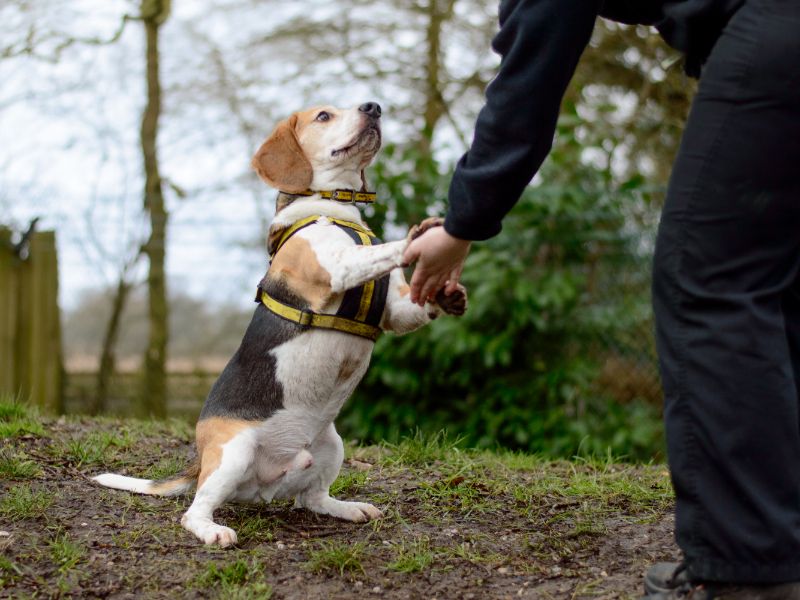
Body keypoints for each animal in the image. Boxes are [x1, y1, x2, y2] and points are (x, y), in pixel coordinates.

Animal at [92, 103, 468, 548]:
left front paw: (447, 295)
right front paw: (420, 236)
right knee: (194, 510)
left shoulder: (395, 311)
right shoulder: (336, 270)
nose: (373, 107)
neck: (332, 208)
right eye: (323, 115)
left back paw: (348, 508)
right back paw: (212, 530)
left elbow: (410, 305)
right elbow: (379, 251)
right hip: (234, 453)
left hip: (331, 445)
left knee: (312, 499)